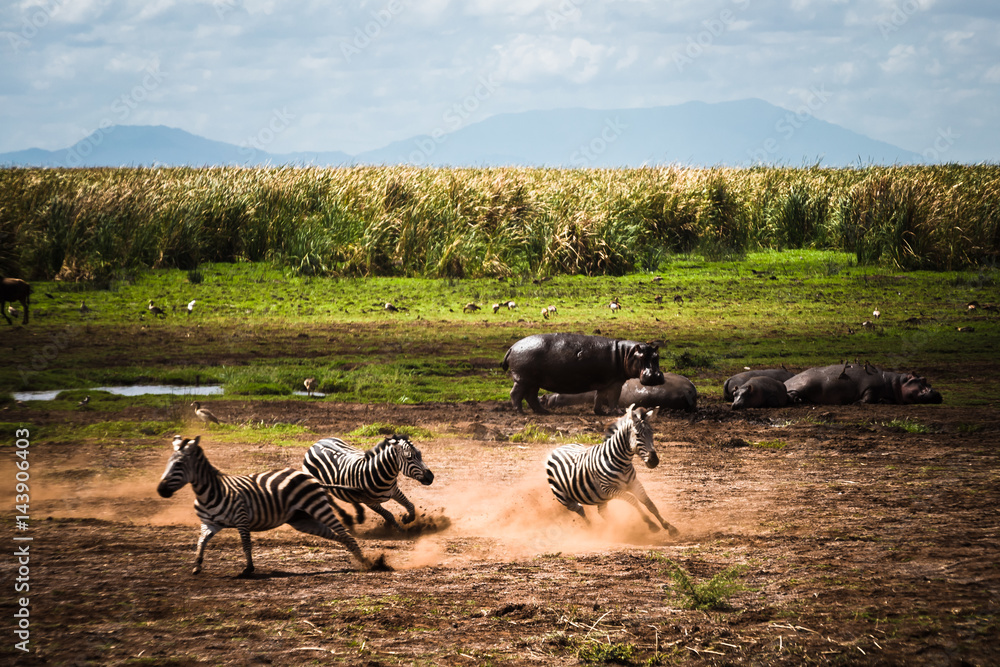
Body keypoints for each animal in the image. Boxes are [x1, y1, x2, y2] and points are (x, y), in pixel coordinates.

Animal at [157, 435, 369, 577]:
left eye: (179, 465)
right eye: (168, 463)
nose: (161, 490)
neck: (210, 492)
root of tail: (310, 476)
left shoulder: (241, 518)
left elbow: (246, 544)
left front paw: (248, 569)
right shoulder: (209, 524)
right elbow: (201, 543)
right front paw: (197, 566)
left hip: (317, 507)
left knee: (344, 533)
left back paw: (364, 561)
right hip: (301, 519)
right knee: (335, 535)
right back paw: (358, 557)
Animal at [303, 434, 434, 532]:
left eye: (420, 454)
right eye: (409, 458)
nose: (431, 477)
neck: (381, 474)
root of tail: (316, 444)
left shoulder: (394, 490)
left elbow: (410, 505)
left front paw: (407, 519)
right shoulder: (370, 502)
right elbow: (389, 515)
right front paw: (401, 530)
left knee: (349, 496)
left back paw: (359, 515)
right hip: (322, 485)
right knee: (330, 499)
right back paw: (347, 518)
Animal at [545, 405, 679, 535]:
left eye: (652, 433)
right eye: (637, 435)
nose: (654, 461)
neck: (622, 463)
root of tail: (558, 448)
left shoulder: (634, 483)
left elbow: (649, 503)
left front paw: (669, 527)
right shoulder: (610, 489)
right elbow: (633, 500)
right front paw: (651, 524)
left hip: (599, 496)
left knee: (602, 512)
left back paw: (615, 528)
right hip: (564, 498)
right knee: (579, 509)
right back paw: (592, 529)